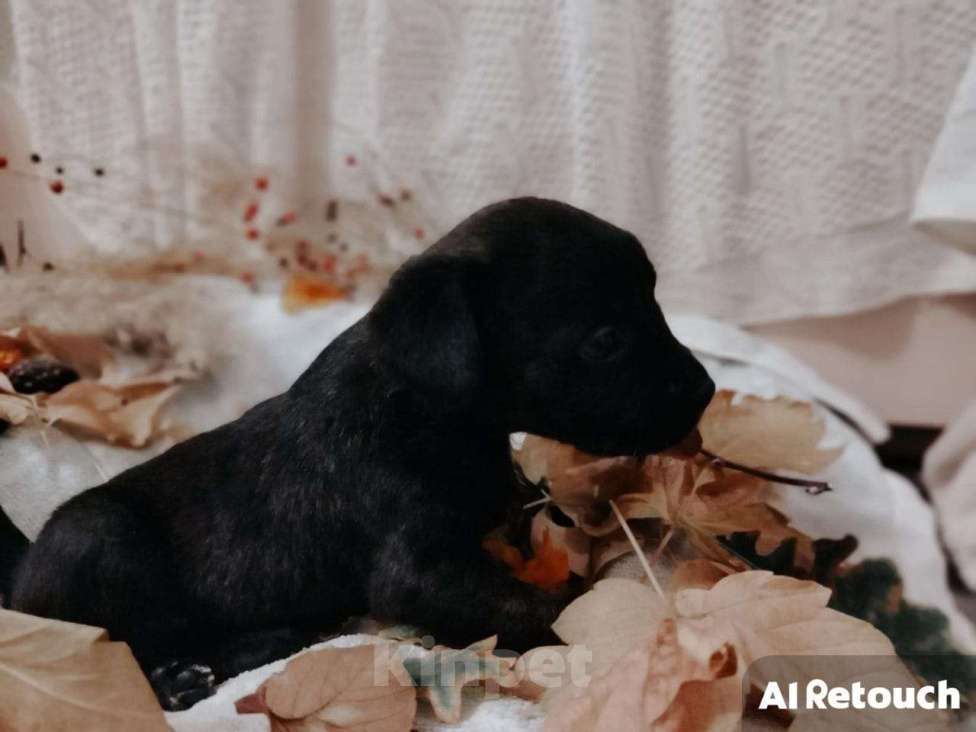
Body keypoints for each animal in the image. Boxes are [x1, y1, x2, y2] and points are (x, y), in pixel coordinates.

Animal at [11, 196, 712, 708]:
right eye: (605, 340)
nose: (707, 391)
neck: (423, 402)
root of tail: (15, 590)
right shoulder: (420, 573)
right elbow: (552, 607)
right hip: (96, 536)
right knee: (124, 648)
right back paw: (181, 677)